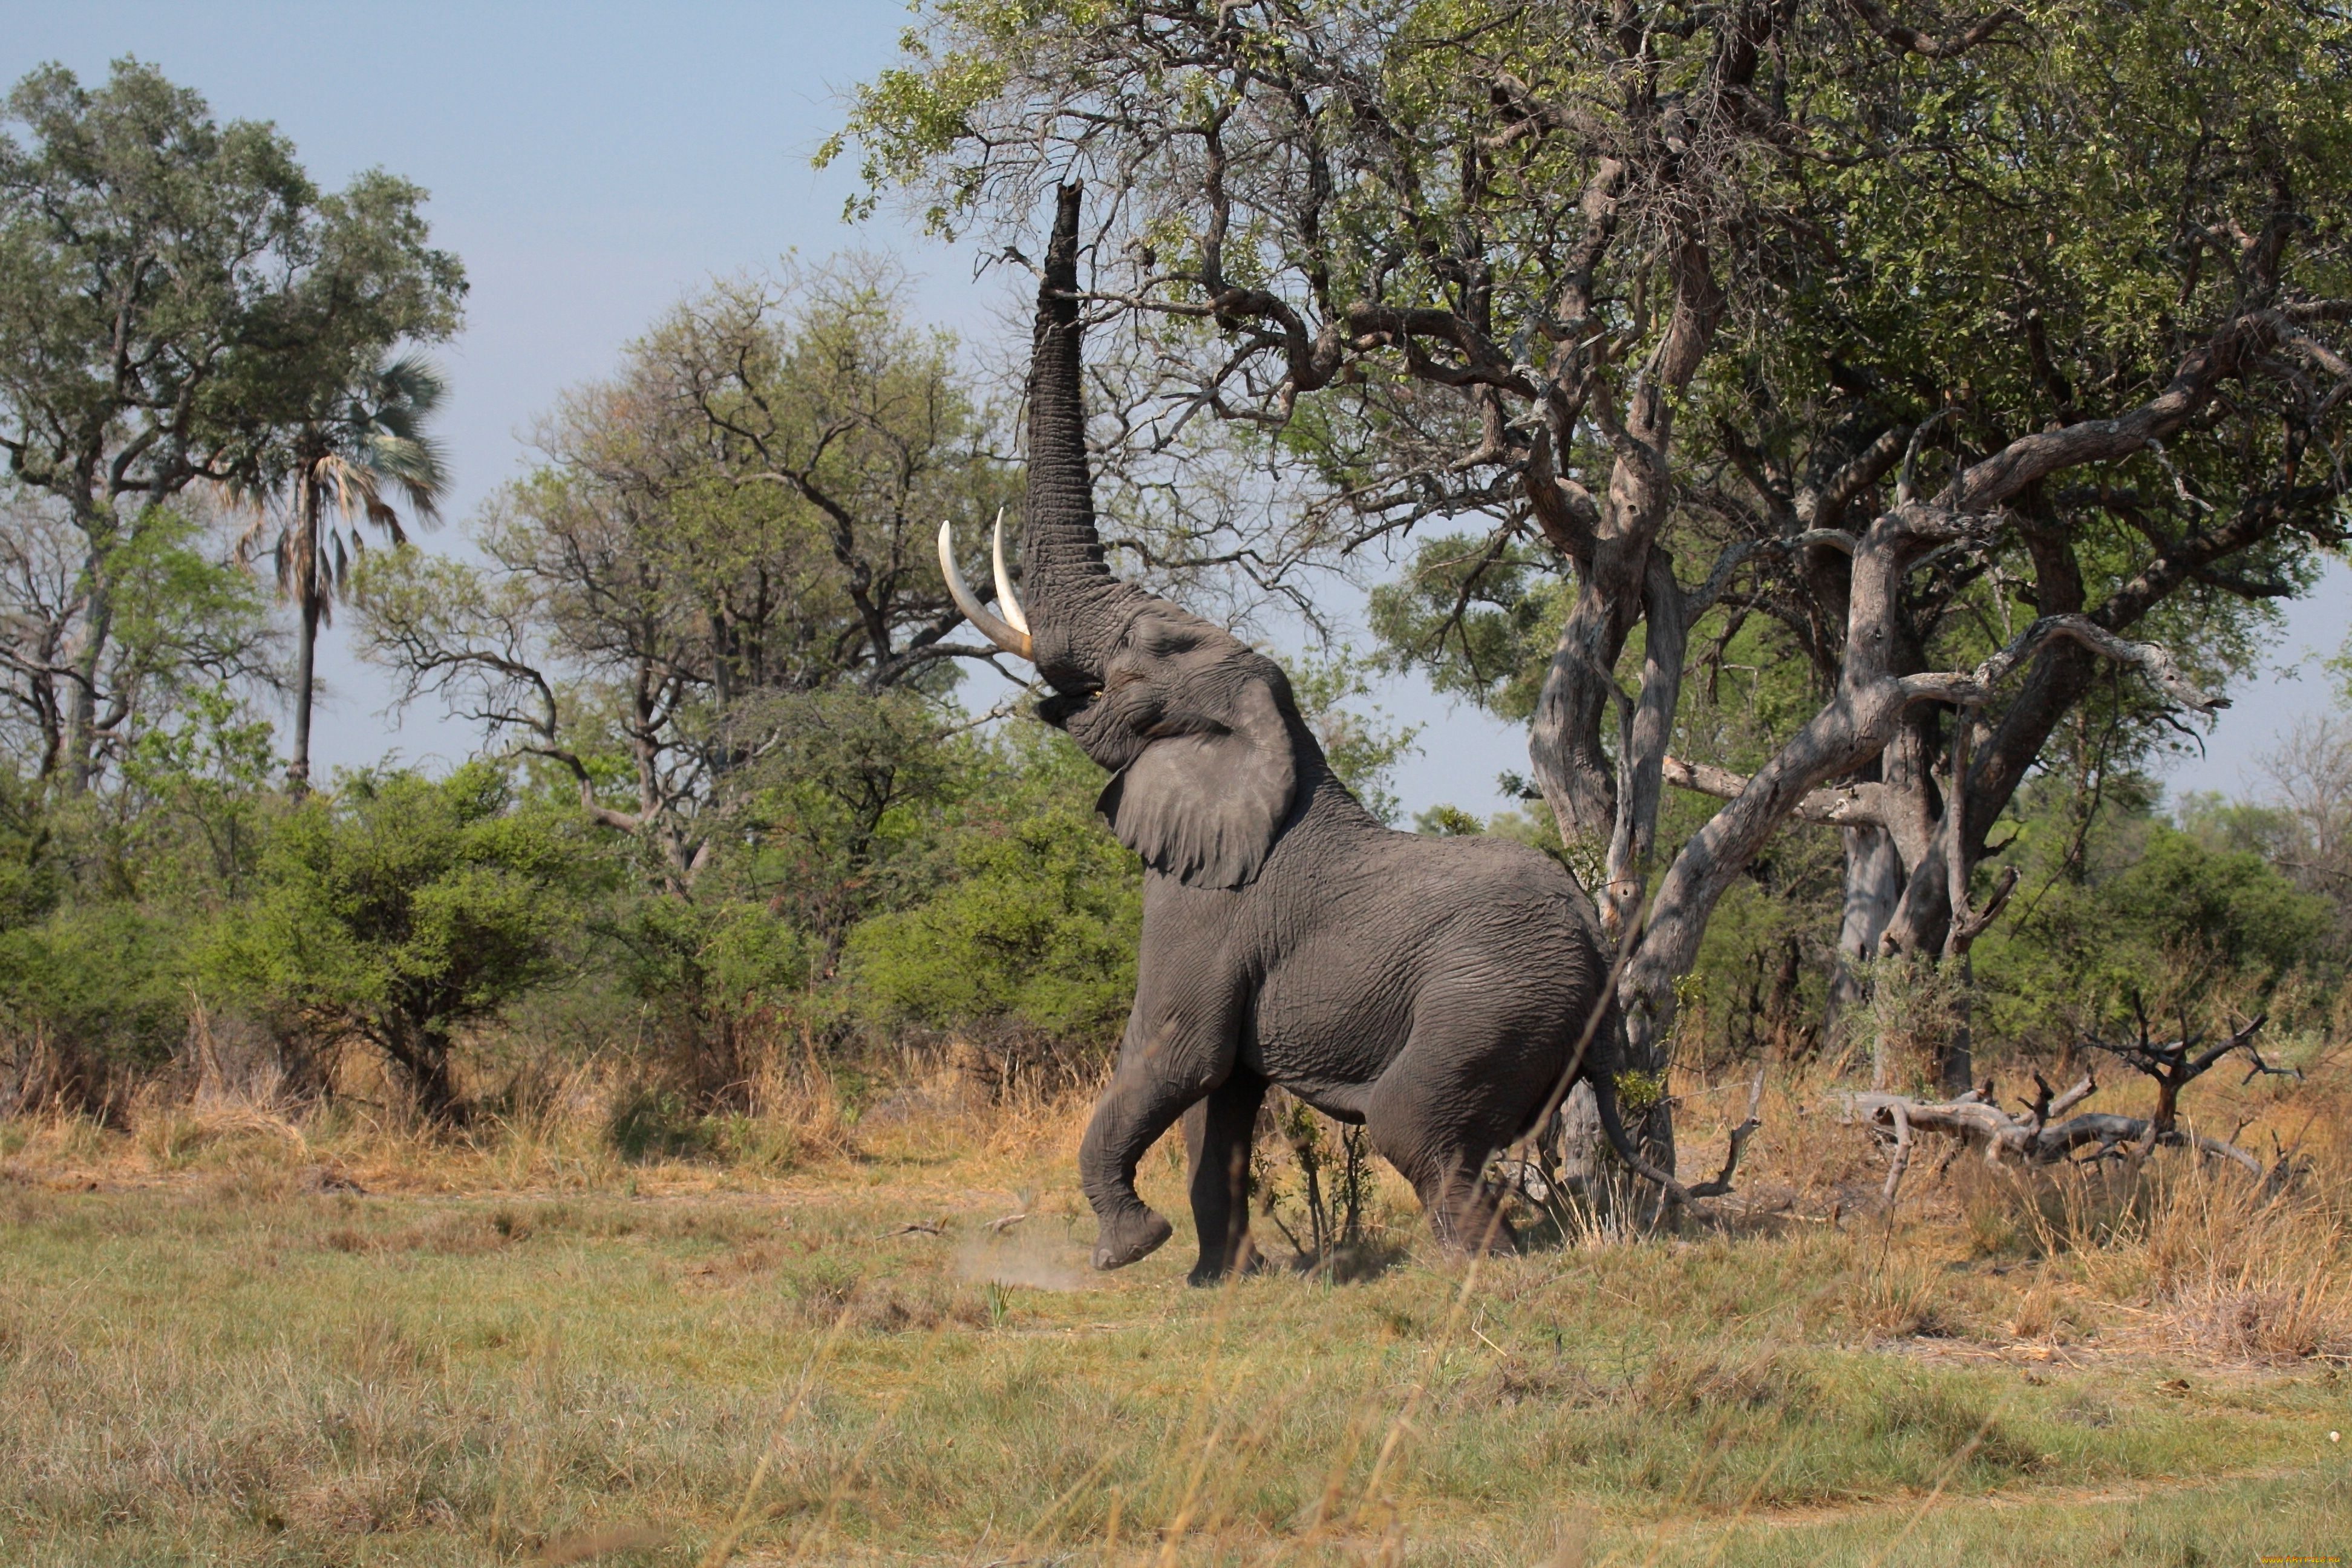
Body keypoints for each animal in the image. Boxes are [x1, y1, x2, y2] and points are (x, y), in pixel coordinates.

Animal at [936, 186, 1674, 1288]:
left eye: (1141, 657)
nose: (1069, 188)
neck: (1269, 735)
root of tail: (1596, 940)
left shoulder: (1206, 906)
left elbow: (1176, 1054)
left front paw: (1128, 1250)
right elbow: (1222, 1105)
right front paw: (1216, 1280)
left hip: (1490, 1001)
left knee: (1415, 1129)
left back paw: (1477, 1268)